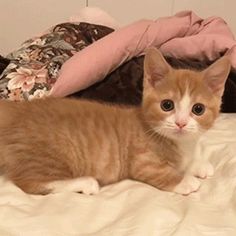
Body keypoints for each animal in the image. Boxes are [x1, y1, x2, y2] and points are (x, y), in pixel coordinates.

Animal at [0, 48, 230, 195]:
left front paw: (198, 164)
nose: (181, 123)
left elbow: (186, 162)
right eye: (167, 105)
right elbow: (162, 172)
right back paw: (87, 183)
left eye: (198, 109)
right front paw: (186, 180)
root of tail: (16, 111)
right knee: (30, 182)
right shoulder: (141, 161)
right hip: (47, 153)